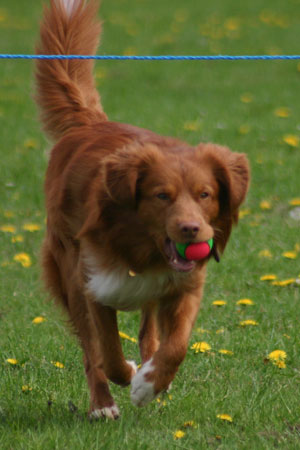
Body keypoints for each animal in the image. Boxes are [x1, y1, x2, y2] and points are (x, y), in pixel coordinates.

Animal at [35, 0, 251, 422]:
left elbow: (176, 345)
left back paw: (152, 375)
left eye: (205, 194)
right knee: (91, 352)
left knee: (149, 332)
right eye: (161, 196)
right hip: (66, 267)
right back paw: (102, 404)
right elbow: (107, 352)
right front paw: (129, 380)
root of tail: (90, 125)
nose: (192, 230)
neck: (141, 250)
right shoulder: (94, 284)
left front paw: (151, 383)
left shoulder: (185, 286)